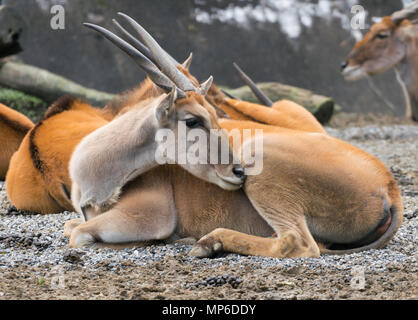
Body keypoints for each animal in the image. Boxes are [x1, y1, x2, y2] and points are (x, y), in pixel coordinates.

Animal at [61, 15, 402, 258]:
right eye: (193, 120)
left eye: (215, 115)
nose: (237, 171)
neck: (94, 177)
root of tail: (389, 185)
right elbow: (70, 225)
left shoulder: (150, 216)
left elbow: (78, 235)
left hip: (263, 167)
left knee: (298, 243)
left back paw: (209, 242)